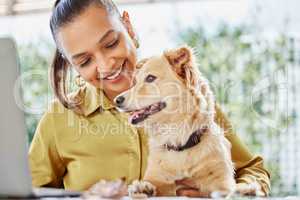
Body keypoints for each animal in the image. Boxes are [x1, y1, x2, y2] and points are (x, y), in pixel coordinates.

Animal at [115, 46, 237, 198]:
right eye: (135, 82)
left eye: (150, 78)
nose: (117, 100)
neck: (179, 141)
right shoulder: (158, 178)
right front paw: (142, 187)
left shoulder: (222, 182)